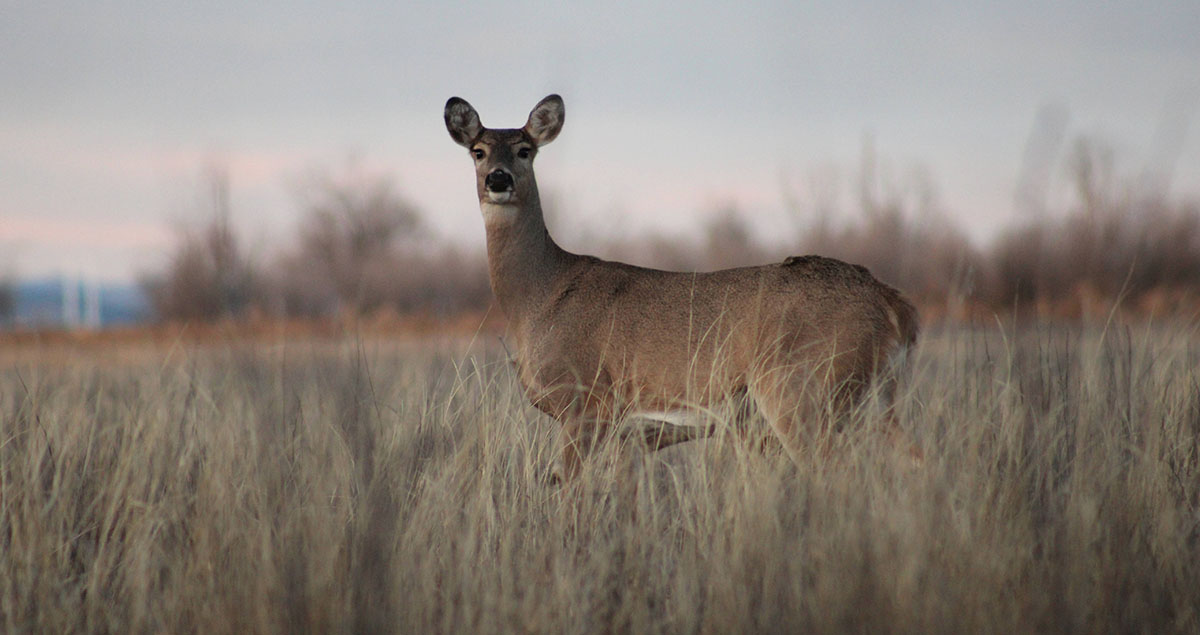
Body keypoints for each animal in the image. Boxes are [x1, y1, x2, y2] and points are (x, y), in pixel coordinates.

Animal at [444, 93, 916, 480]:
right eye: (478, 151)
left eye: (526, 150)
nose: (498, 179)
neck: (539, 298)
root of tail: (891, 300)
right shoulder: (627, 435)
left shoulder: (586, 402)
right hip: (876, 397)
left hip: (800, 388)